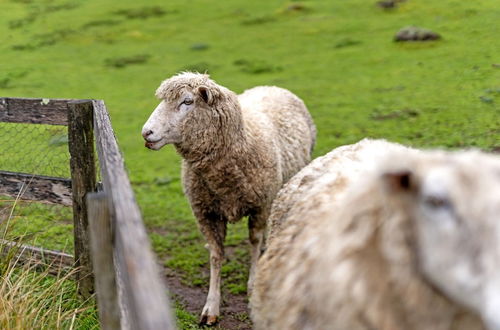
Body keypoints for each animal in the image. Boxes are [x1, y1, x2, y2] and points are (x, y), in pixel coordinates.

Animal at [140, 72, 316, 324]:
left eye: (187, 101)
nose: (146, 133)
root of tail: (272, 86)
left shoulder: (260, 204)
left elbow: (253, 242)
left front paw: (252, 283)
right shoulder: (206, 213)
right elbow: (216, 255)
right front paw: (211, 306)